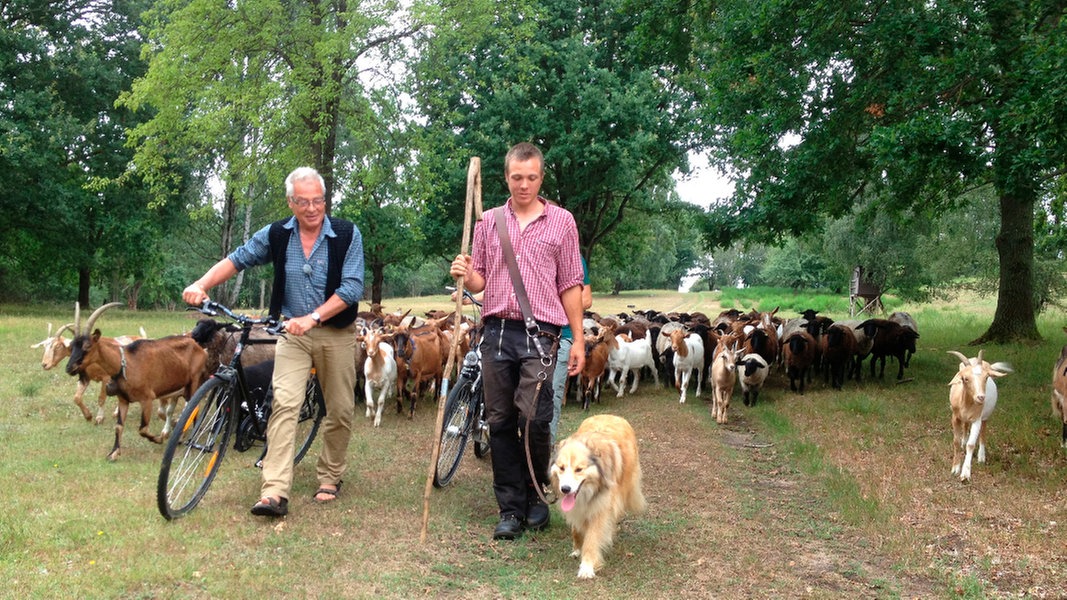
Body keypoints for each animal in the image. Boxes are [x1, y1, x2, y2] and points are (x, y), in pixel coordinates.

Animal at [69, 324, 208, 459]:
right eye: (71, 346)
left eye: (87, 346)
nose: (69, 368)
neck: (125, 364)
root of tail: (199, 347)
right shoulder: (123, 400)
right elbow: (119, 426)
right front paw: (114, 453)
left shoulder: (147, 399)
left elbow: (143, 429)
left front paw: (159, 439)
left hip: (194, 383)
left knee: (194, 409)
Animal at [550, 414, 640, 576]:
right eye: (561, 468)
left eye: (579, 469)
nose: (565, 489)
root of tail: (610, 415)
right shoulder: (577, 509)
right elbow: (576, 528)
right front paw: (577, 549)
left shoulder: (602, 508)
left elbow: (592, 538)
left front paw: (587, 566)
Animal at [947, 350, 1011, 480]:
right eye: (965, 378)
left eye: (986, 377)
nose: (981, 397)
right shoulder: (955, 417)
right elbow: (956, 441)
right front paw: (955, 468)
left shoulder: (977, 419)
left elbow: (971, 445)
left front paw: (965, 474)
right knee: (966, 426)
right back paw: (964, 441)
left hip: (985, 416)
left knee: (983, 432)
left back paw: (981, 457)